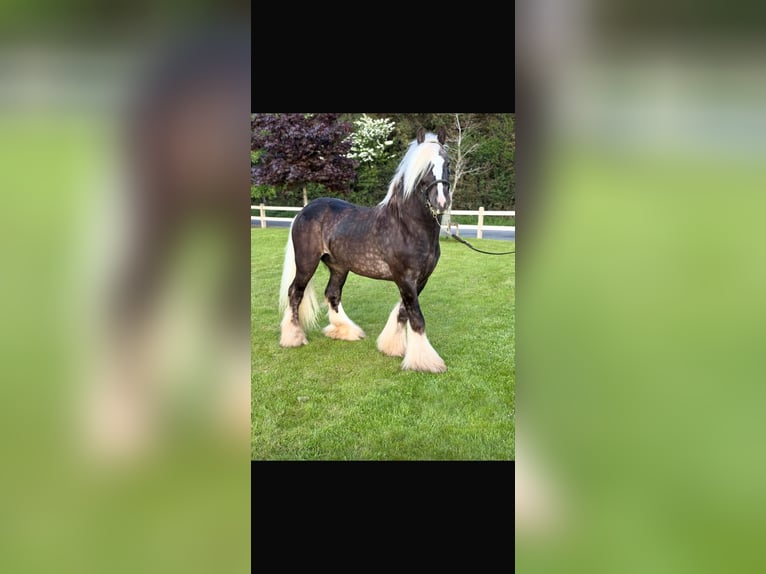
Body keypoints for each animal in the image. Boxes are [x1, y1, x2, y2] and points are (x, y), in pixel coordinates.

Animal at [278, 127, 452, 373]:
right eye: (423, 167)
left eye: (447, 163)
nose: (442, 202)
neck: (406, 226)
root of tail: (304, 211)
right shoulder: (405, 278)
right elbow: (416, 317)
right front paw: (425, 361)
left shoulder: (420, 280)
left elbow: (404, 311)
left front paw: (392, 347)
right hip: (306, 264)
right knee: (295, 292)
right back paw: (294, 337)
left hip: (338, 267)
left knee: (332, 294)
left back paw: (346, 331)